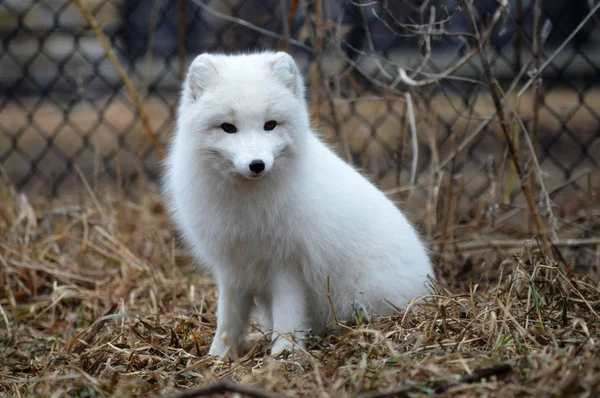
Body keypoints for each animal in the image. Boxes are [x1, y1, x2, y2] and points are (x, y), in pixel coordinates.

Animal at [163, 49, 436, 358]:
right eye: (228, 128)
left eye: (270, 125)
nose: (257, 165)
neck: (247, 204)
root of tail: (431, 289)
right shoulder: (232, 266)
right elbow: (228, 320)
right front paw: (218, 357)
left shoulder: (288, 265)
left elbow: (288, 316)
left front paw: (284, 355)